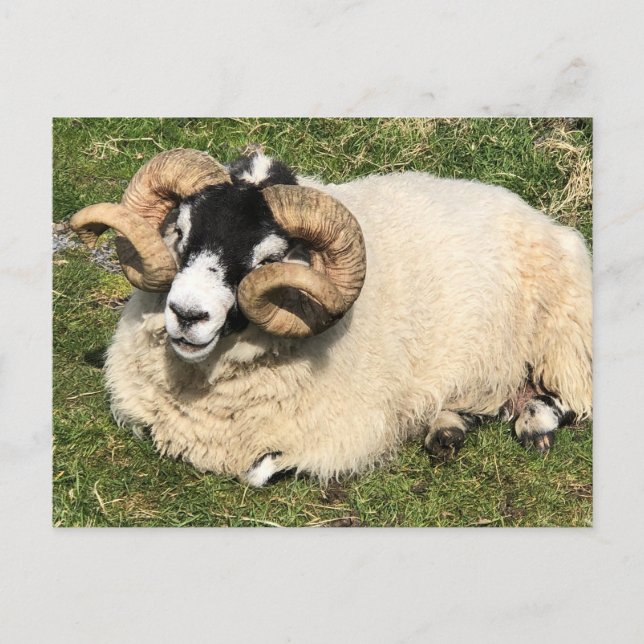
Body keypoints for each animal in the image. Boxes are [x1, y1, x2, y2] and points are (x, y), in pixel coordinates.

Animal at [70, 148, 592, 487]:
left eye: (270, 259)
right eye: (180, 232)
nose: (187, 314)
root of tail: (538, 215)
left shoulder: (346, 434)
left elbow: (257, 471)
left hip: (566, 337)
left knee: (570, 398)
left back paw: (533, 422)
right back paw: (447, 427)